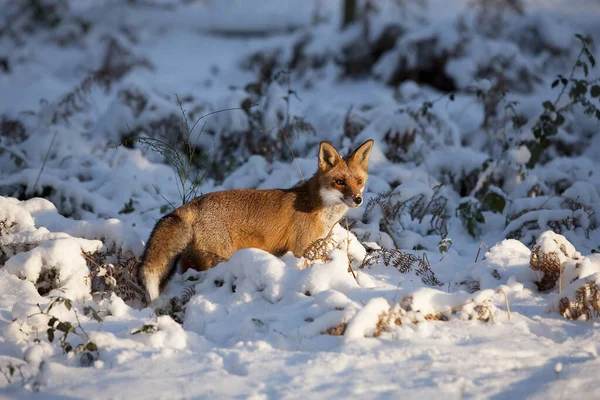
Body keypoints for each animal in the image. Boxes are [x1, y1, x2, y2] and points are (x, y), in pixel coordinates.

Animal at [138, 140, 372, 300]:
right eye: (340, 182)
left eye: (359, 181)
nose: (357, 199)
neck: (315, 205)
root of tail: (194, 203)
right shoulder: (300, 250)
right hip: (220, 258)